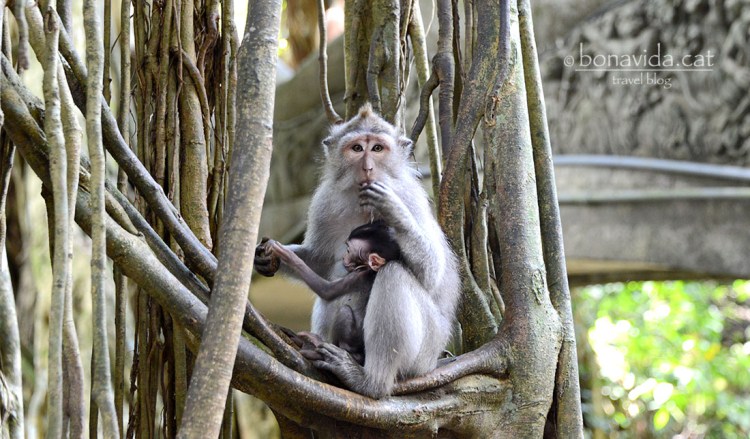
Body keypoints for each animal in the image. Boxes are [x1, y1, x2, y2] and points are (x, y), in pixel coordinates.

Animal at [261, 220, 402, 364]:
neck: (370, 271)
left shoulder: (358, 276)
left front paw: (289, 256)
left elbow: (326, 291)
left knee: (344, 312)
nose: (344, 257)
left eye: (349, 250)